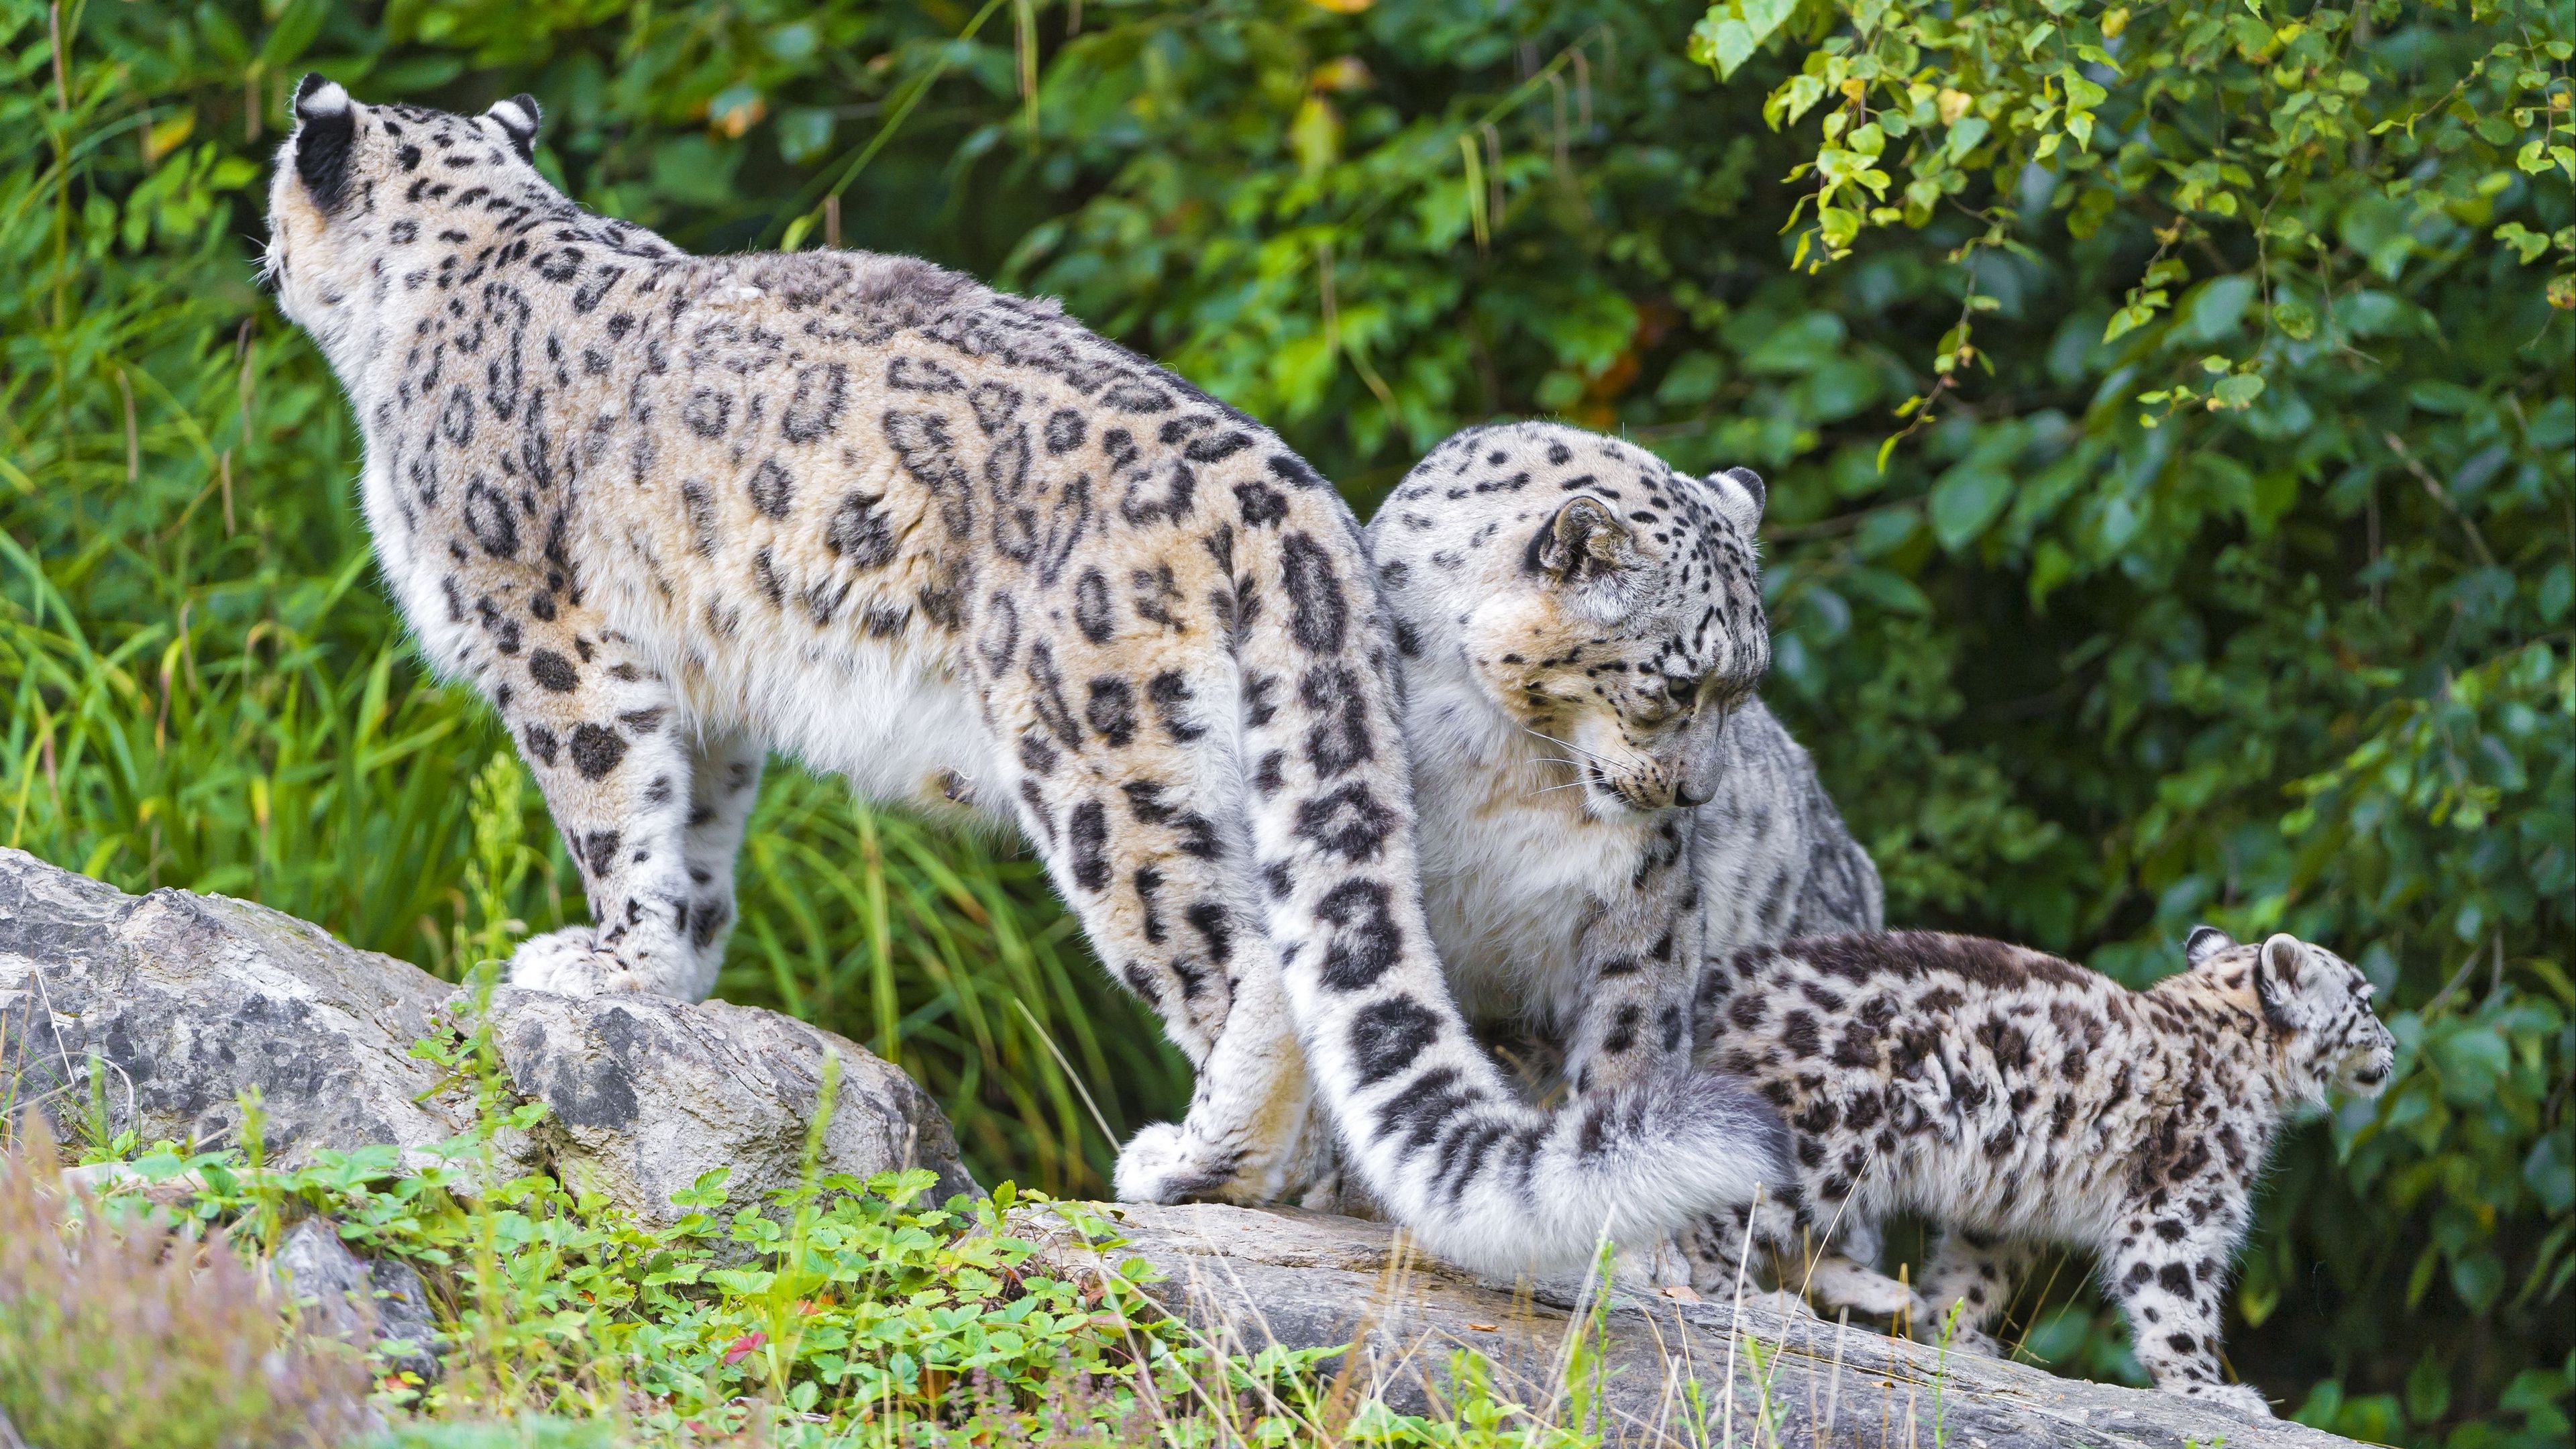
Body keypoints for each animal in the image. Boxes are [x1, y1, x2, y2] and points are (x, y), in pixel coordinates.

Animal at [259, 77, 1786, 1277]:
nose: (259, 254)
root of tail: (1286, 492)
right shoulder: (709, 690)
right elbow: (694, 837)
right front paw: (674, 977)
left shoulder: (549, 637)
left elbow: (609, 805)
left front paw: (599, 966)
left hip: (1103, 761)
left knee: (1247, 964)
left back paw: (1194, 1168)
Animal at [1363, 419, 1883, 1279]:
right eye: (1677, 685)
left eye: (1745, 689)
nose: (1697, 795)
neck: (1505, 768)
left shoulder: (1645, 892)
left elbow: (1629, 1037)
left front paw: (1632, 1233)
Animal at [1688, 924, 2395, 1416]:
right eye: (2365, 1000)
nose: (2393, 1045)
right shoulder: (2178, 1204)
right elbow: (2176, 1301)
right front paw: (2208, 1391)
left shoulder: (2006, 1210)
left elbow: (1973, 1273)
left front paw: (1952, 1334)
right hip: (1822, 1142)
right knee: (1717, 1217)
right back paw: (1744, 1298)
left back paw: (1882, 1295)